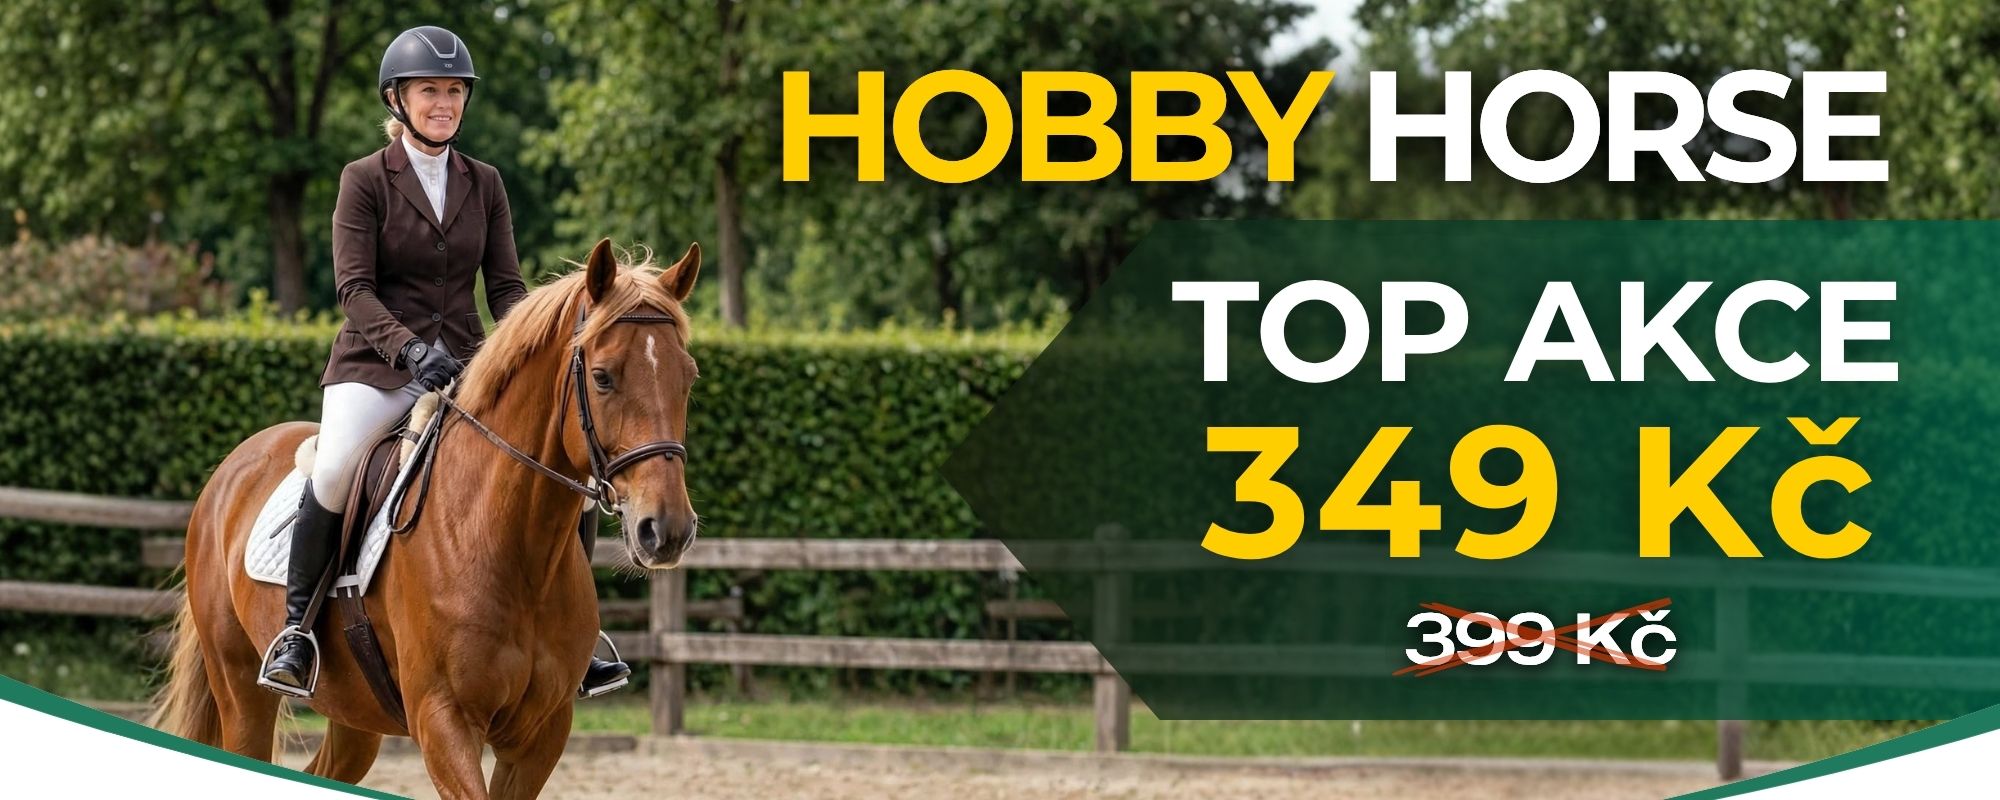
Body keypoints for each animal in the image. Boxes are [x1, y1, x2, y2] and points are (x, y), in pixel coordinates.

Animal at [150, 238, 702, 798]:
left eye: (688, 376)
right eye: (602, 377)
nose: (666, 530)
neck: (509, 546)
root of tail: (232, 468)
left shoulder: (543, 733)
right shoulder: (444, 718)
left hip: (355, 712)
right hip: (242, 690)